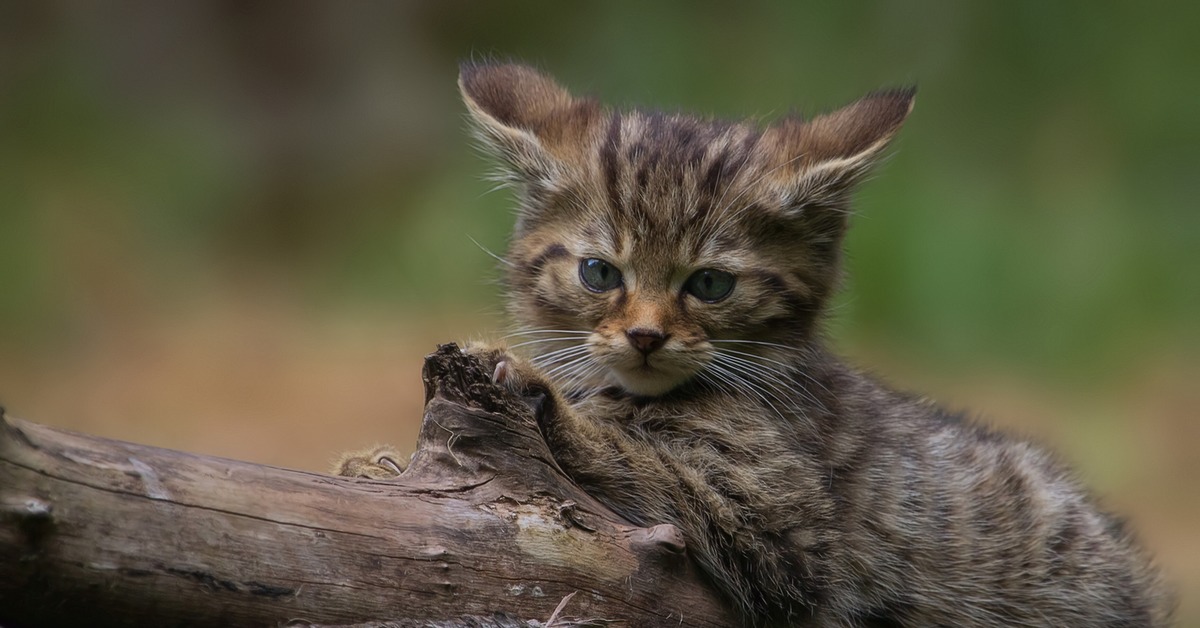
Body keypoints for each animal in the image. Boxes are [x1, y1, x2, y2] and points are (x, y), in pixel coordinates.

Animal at [338, 63, 1171, 628]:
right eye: (600, 273)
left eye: (709, 285)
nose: (645, 335)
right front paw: (376, 464)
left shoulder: (787, 531)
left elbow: (638, 456)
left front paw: (543, 394)